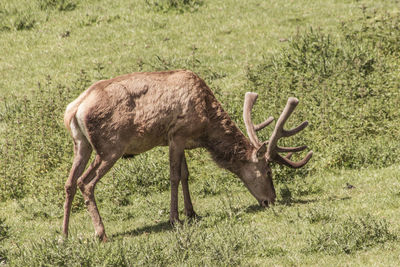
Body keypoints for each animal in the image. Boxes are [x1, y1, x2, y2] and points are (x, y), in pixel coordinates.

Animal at [62, 70, 312, 242]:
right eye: (268, 170)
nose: (271, 200)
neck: (205, 127)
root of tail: (74, 109)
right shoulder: (177, 134)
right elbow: (173, 176)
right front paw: (175, 218)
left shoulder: (181, 141)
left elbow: (185, 174)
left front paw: (191, 212)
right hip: (110, 147)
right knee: (85, 182)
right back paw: (101, 233)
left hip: (81, 144)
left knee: (69, 183)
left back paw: (63, 235)